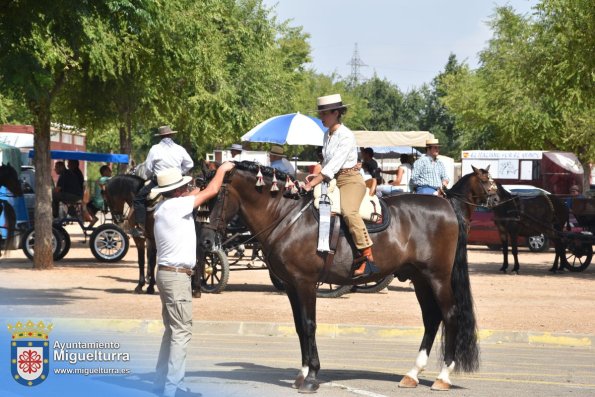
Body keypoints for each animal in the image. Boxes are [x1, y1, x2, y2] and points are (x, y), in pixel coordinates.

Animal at [203, 160, 492, 390]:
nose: (205, 240)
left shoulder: (305, 283)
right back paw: (412, 374)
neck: (287, 216)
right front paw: (303, 373)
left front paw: (312, 376)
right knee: (432, 319)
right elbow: (299, 327)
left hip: (438, 277)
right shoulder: (291, 286)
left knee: (450, 316)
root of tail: (446, 205)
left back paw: (443, 377)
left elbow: (309, 325)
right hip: (420, 278)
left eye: (217, 195)